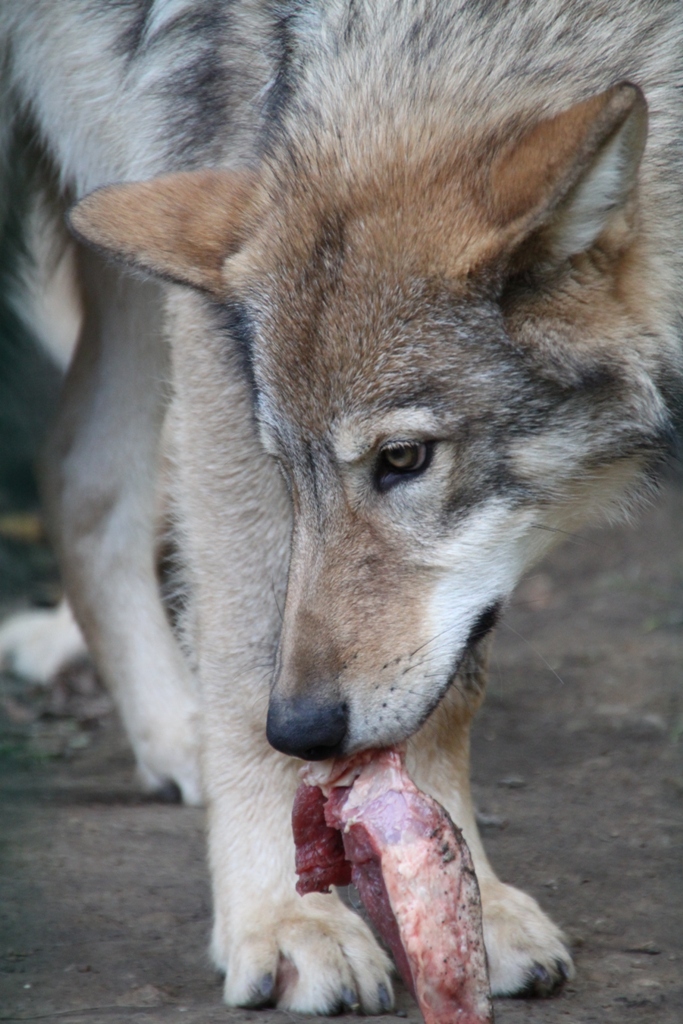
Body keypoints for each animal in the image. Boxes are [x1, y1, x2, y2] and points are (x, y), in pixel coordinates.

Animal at [1, 2, 683, 1015]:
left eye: (403, 460)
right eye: (289, 467)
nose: (302, 732)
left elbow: (443, 697)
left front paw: (463, 901)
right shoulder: (218, 344)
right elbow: (250, 645)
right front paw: (284, 916)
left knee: (78, 466)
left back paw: (171, 737)